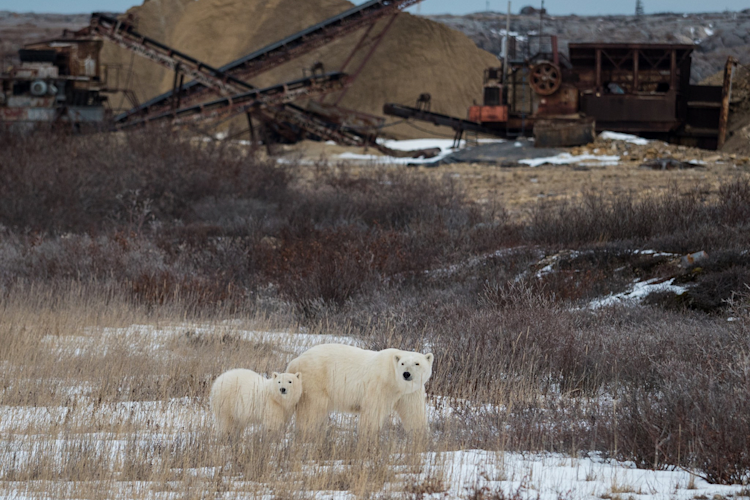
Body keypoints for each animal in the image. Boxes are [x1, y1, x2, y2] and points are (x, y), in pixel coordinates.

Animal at [285, 344, 434, 439]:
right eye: (402, 363)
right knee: (312, 410)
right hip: (315, 380)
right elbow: (373, 410)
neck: (395, 381)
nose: (406, 374)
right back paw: (308, 433)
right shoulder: (379, 384)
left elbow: (414, 413)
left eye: (417, 363)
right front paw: (368, 437)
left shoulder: (411, 392)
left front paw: (421, 437)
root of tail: (294, 361)